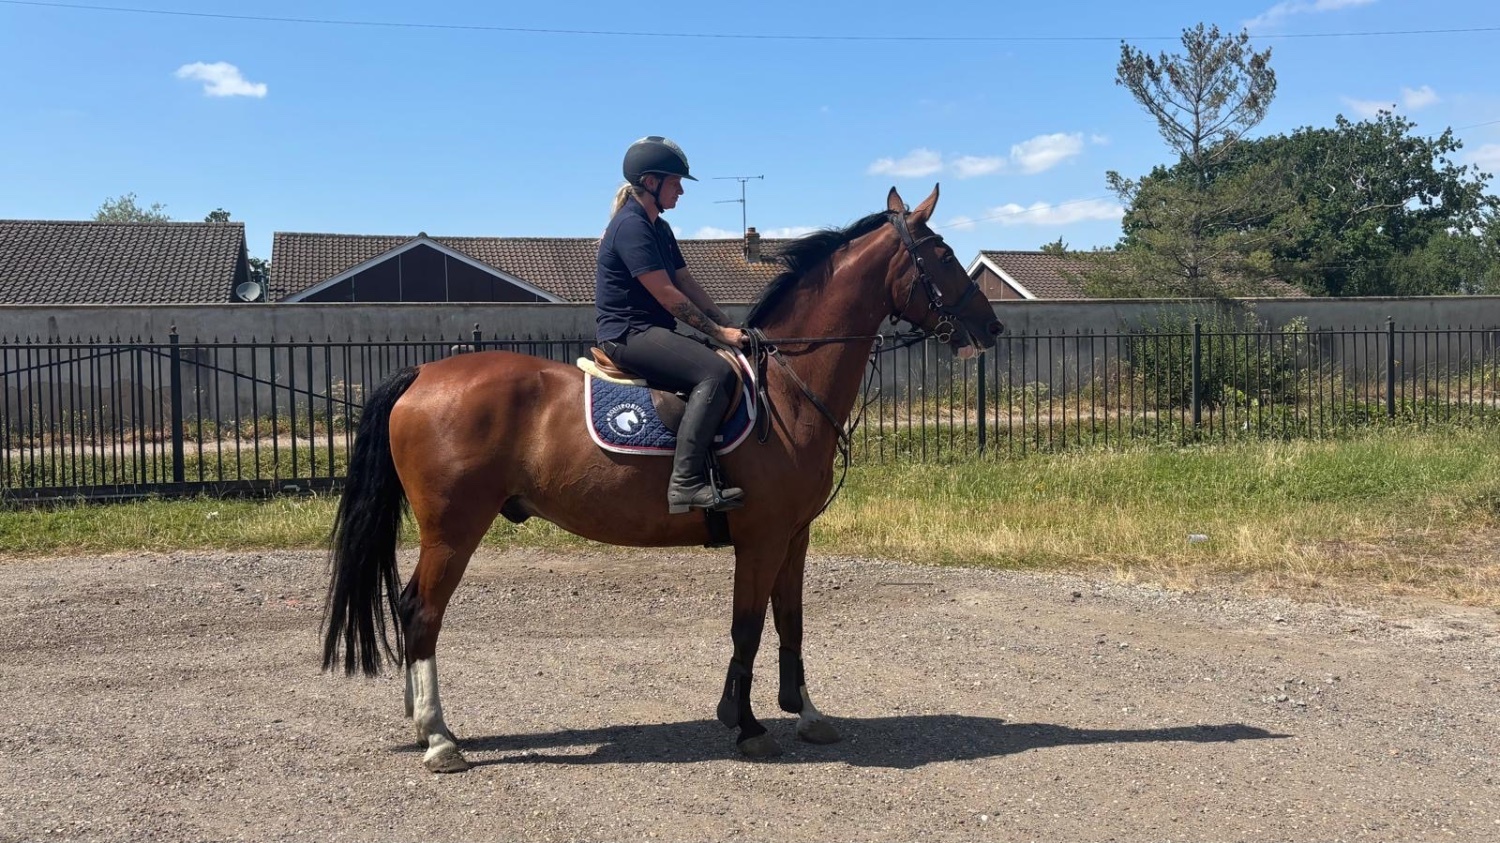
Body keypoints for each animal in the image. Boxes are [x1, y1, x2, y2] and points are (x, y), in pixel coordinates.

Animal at [321, 185, 1003, 773]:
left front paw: (805, 713)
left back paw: (422, 725)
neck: (786, 389)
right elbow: (747, 627)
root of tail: (422, 374)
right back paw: (439, 738)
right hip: (453, 529)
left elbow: (790, 621)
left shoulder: (794, 537)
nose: (993, 329)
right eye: (944, 255)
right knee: (421, 611)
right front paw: (746, 725)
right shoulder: (760, 538)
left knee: (411, 609)